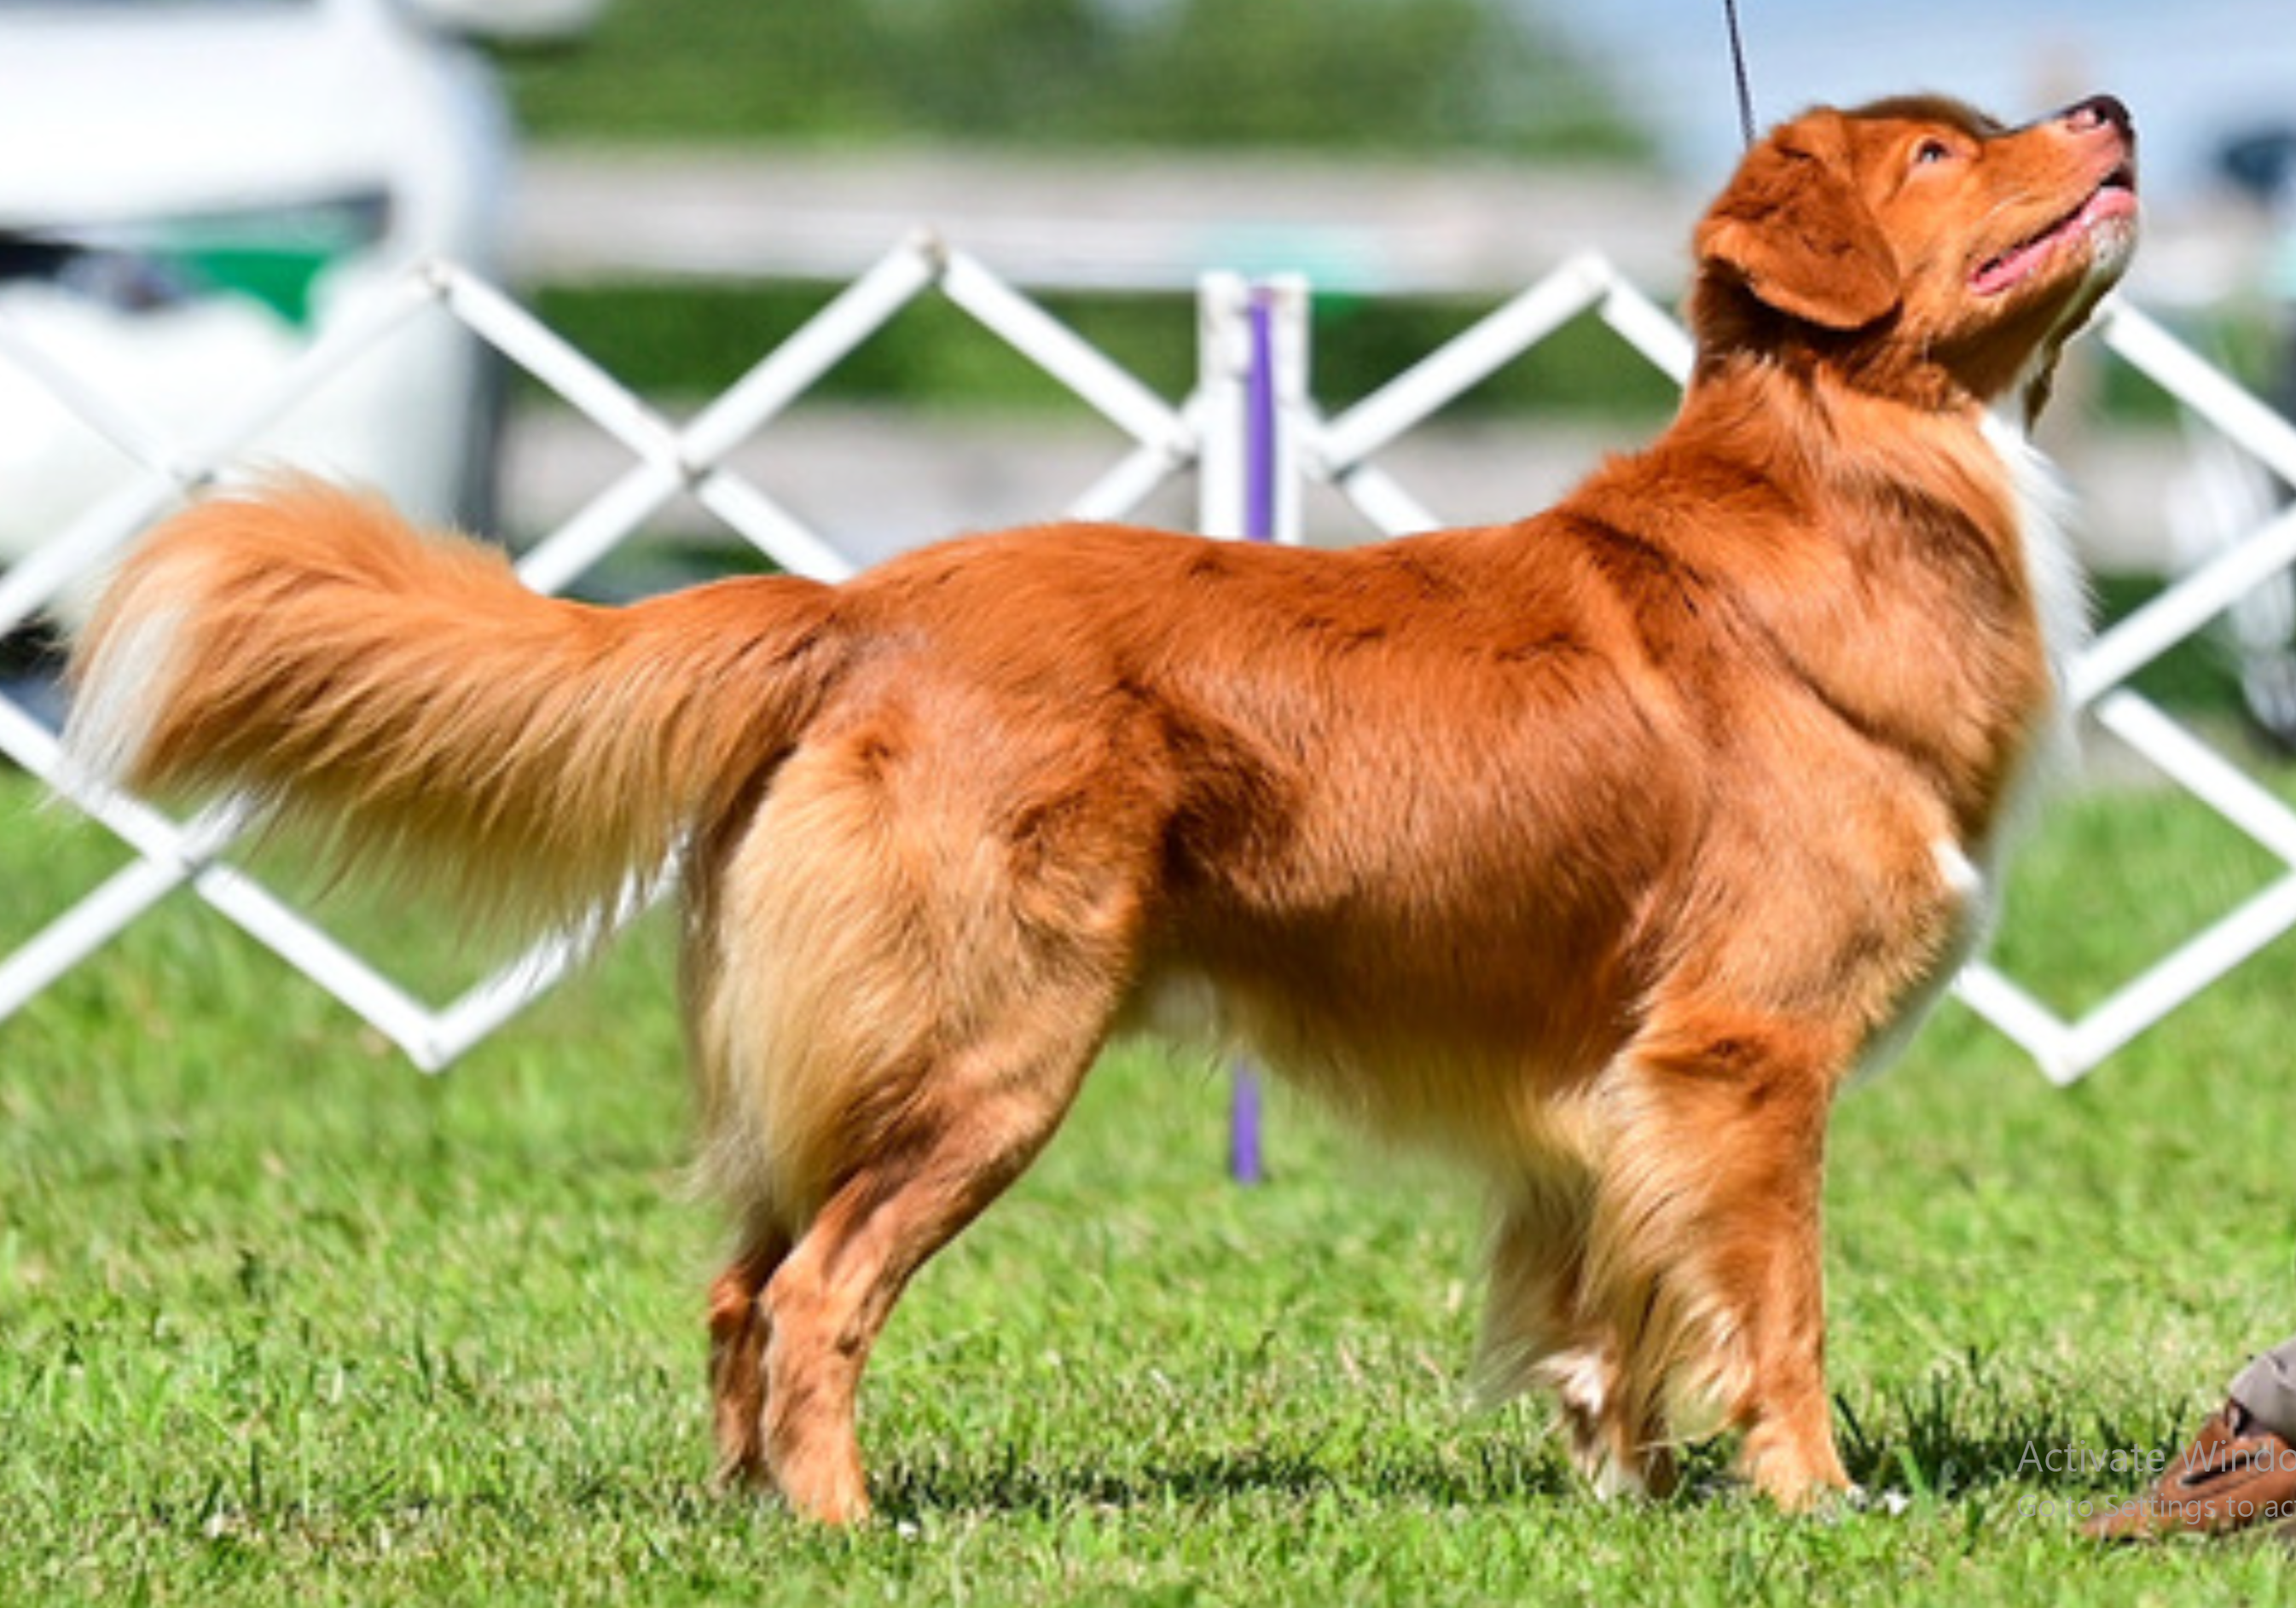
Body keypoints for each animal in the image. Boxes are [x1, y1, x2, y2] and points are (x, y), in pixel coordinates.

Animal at [76, 94, 2148, 1516]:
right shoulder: (1742, 1051)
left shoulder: (1608, 1078)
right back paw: (848, 1530)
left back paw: (747, 1520)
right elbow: (1773, 1305)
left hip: (852, 1052)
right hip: (988, 1042)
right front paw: (1816, 1504)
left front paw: (1626, 1500)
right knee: (818, 1293)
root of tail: (857, 606)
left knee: (742, 1287)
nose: (2114, 107)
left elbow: (1614, 1306)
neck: (1854, 475)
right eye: (1941, 151)